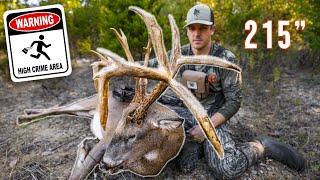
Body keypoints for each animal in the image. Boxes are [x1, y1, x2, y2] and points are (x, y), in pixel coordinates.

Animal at [16, 5, 240, 179]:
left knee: (62, 108)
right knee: (57, 107)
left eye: (132, 135)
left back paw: (27, 113)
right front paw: (85, 152)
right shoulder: (104, 143)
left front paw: (86, 149)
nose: (105, 164)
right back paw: (22, 116)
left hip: (85, 111)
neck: (151, 162)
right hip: (87, 103)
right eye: (117, 128)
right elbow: (78, 174)